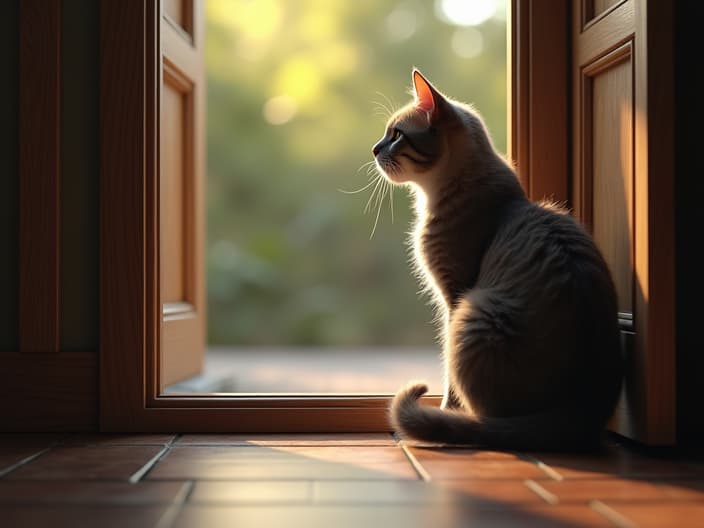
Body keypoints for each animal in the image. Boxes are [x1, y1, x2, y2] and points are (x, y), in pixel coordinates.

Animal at [372, 69, 624, 450]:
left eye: (396, 135)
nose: (374, 148)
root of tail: (581, 411)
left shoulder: (453, 296)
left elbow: (449, 380)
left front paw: (446, 410)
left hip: (473, 313)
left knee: (491, 419)